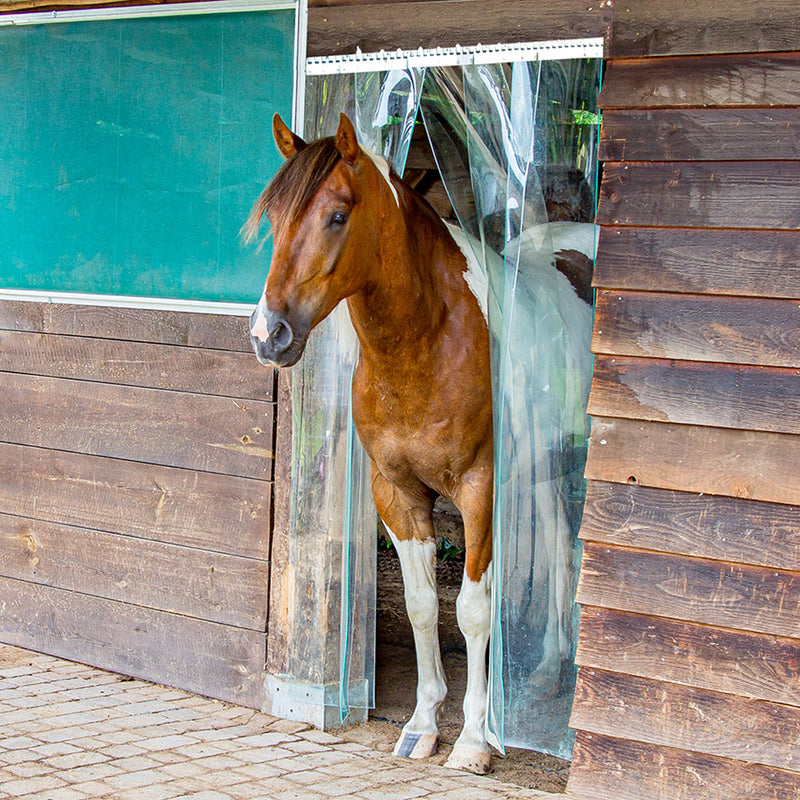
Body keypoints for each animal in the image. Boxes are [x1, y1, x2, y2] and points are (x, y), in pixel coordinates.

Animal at [245, 112, 494, 776]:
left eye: (337, 215)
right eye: (273, 220)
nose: (268, 334)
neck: (430, 336)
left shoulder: (480, 489)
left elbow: (473, 610)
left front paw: (473, 741)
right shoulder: (395, 491)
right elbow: (424, 605)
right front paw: (423, 725)